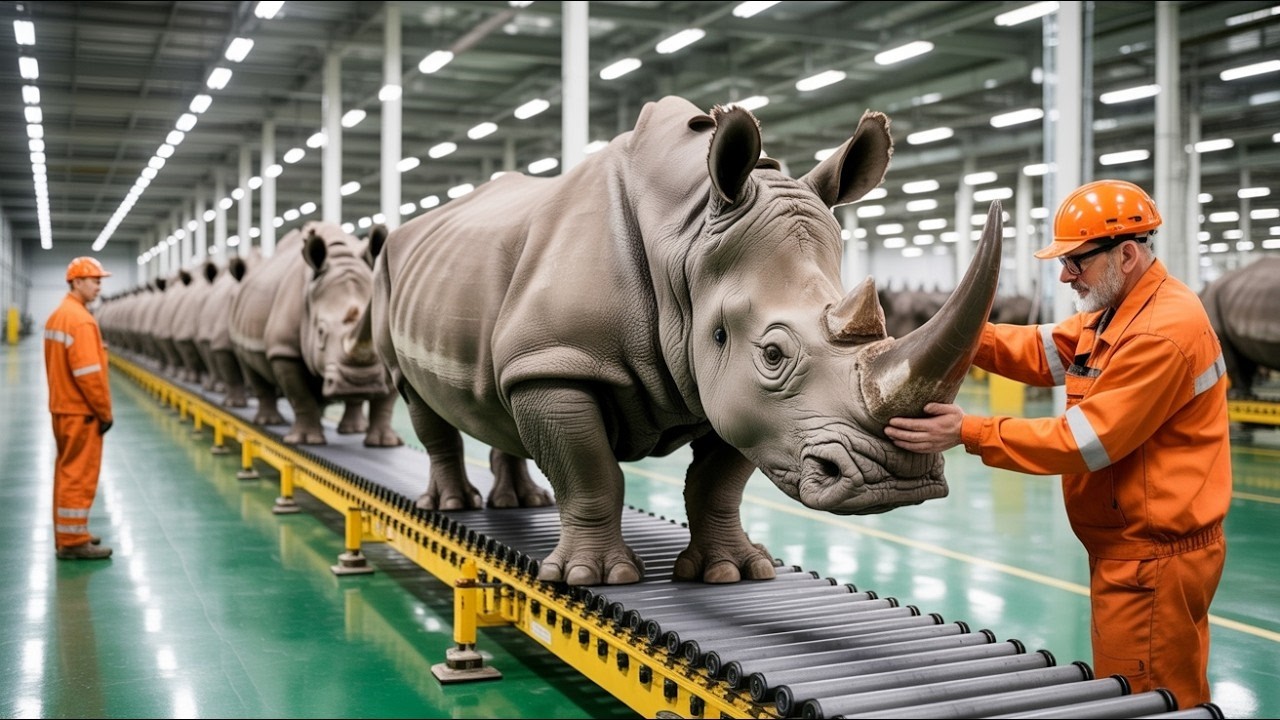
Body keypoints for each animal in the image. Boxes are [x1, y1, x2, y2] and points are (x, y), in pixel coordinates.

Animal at [229, 221, 403, 447]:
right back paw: (269, 421)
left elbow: (385, 402)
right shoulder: (284, 350)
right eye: (320, 332)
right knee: (250, 367)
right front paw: (307, 441)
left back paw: (352, 430)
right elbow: (300, 395)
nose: (360, 382)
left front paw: (385, 443)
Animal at [371, 96, 1002, 586]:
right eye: (773, 354)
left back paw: (522, 504)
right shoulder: (563, 360)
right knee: (417, 395)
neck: (686, 234)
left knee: (501, 386)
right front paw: (595, 579)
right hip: (397, 274)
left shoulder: (729, 390)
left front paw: (733, 573)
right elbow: (590, 470)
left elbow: (718, 482)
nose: (897, 477)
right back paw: (454, 506)